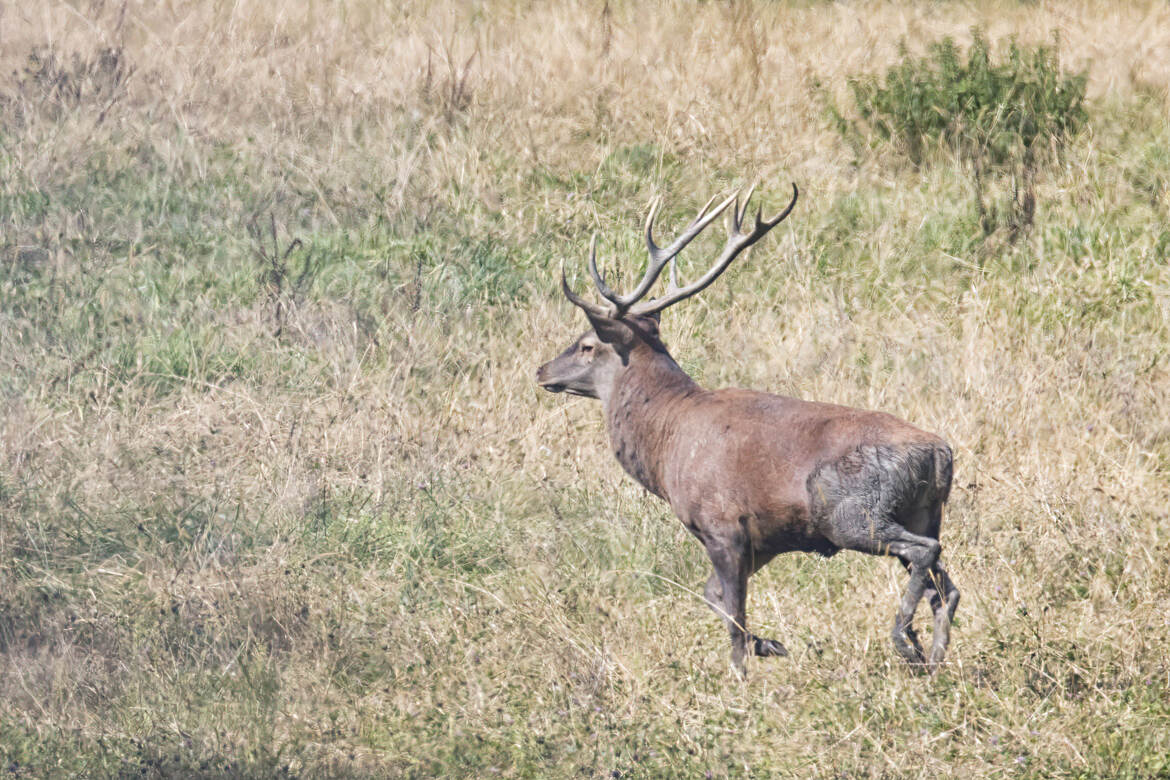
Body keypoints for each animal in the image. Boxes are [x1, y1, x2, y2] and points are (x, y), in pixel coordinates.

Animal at [535, 184, 959, 678]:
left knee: (926, 553)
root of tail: (939, 454)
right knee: (946, 588)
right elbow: (714, 595)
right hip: (922, 511)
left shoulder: (723, 524)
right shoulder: (766, 538)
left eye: (587, 345)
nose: (542, 370)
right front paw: (771, 644)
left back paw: (903, 639)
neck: (667, 440)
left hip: (852, 514)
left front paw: (740, 672)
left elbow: (734, 616)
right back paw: (933, 659)